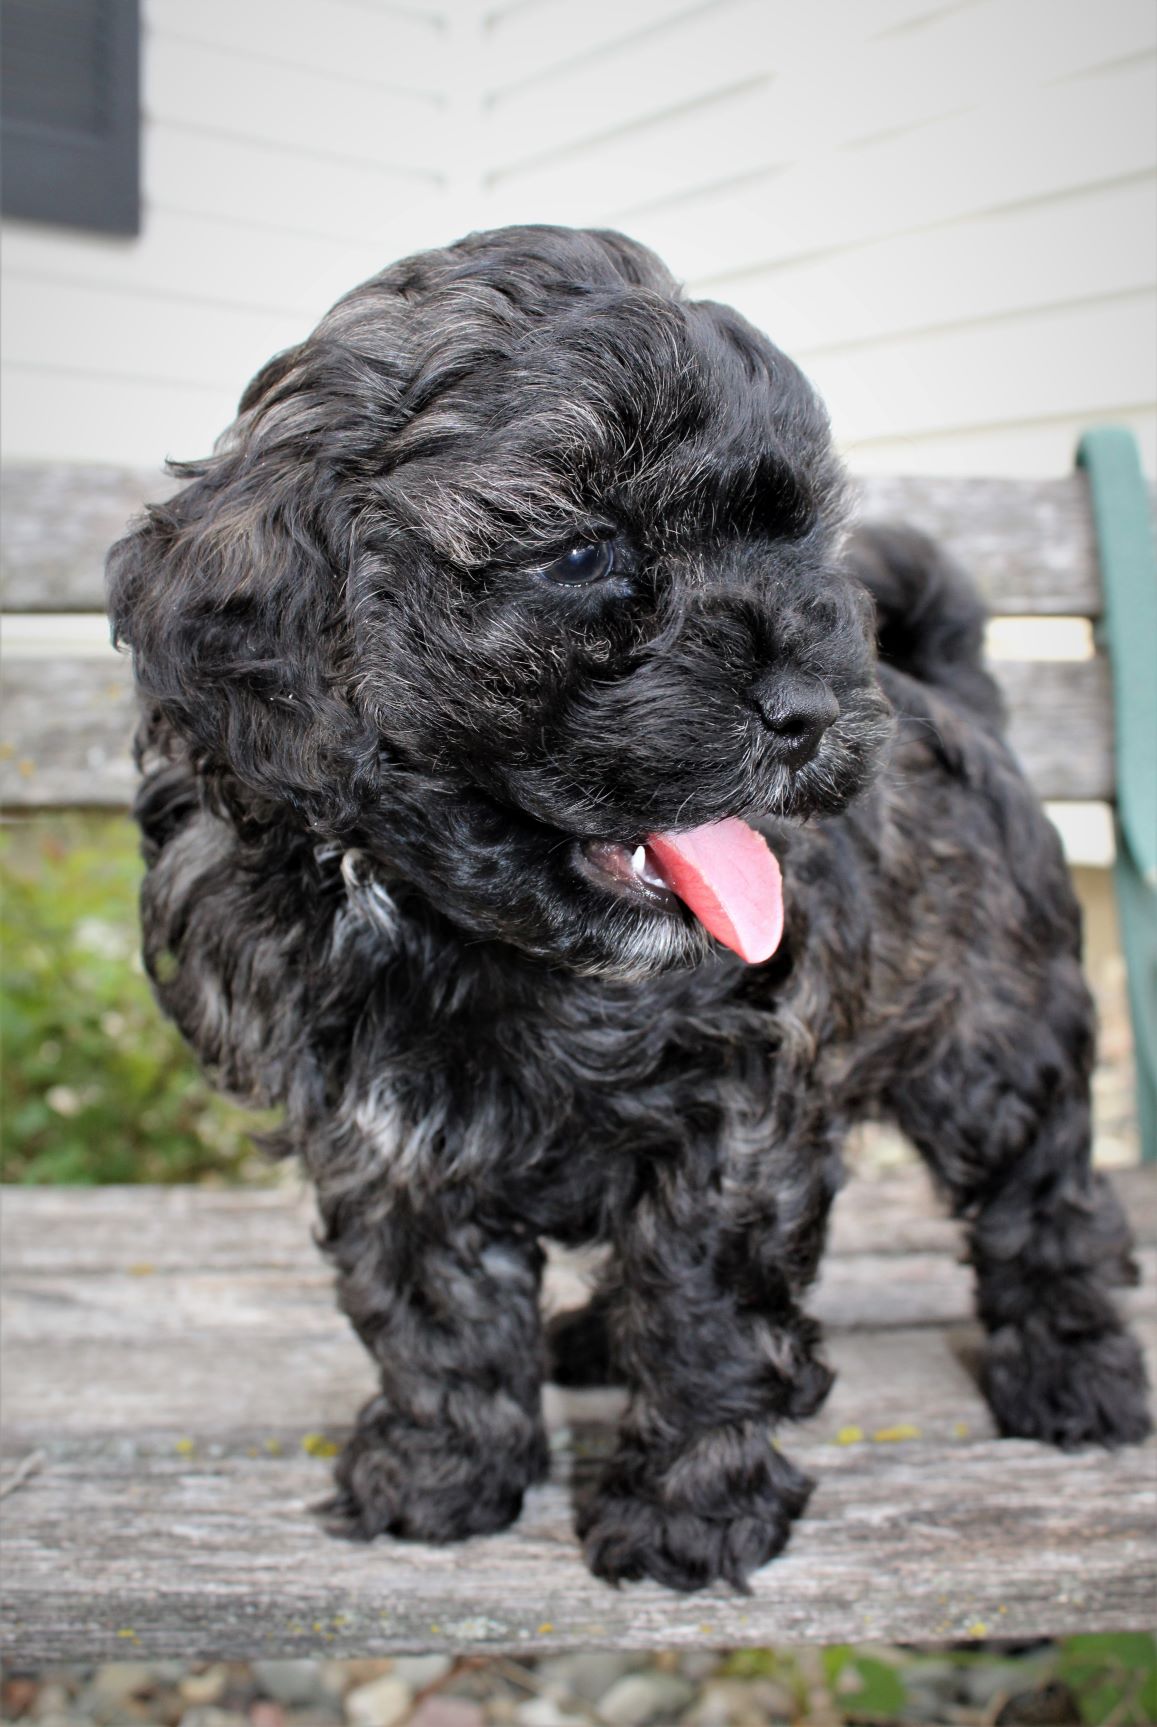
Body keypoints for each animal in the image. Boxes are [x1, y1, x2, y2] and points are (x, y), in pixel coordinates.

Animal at [106, 226, 1153, 1588]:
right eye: (580, 553)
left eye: (795, 543)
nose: (811, 707)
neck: (447, 923)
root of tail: (959, 702)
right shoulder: (381, 1140)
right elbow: (430, 1311)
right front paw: (440, 1470)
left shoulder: (733, 1117)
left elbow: (704, 1313)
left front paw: (685, 1510)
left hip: (994, 1040)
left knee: (1046, 1206)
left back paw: (1074, 1372)